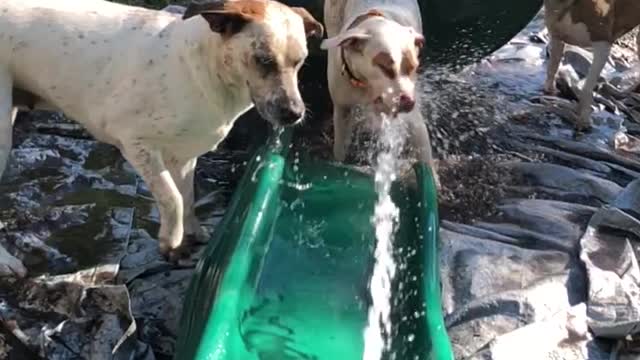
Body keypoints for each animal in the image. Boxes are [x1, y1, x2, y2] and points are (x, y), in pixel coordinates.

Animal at [0, 0, 322, 276]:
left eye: (301, 61)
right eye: (263, 60)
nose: (295, 113)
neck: (202, 70)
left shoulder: (184, 156)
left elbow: (188, 197)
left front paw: (192, 234)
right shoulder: (136, 143)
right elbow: (172, 198)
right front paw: (172, 241)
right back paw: (8, 263)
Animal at [322, 0, 432, 173]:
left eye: (414, 66)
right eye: (385, 67)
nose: (408, 102)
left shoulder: (413, 122)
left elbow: (426, 161)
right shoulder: (342, 110)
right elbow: (340, 150)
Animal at [544, 0, 640, 129]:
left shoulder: (602, 45)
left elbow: (587, 87)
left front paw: (584, 118)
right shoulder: (557, 37)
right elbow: (552, 67)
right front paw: (549, 90)